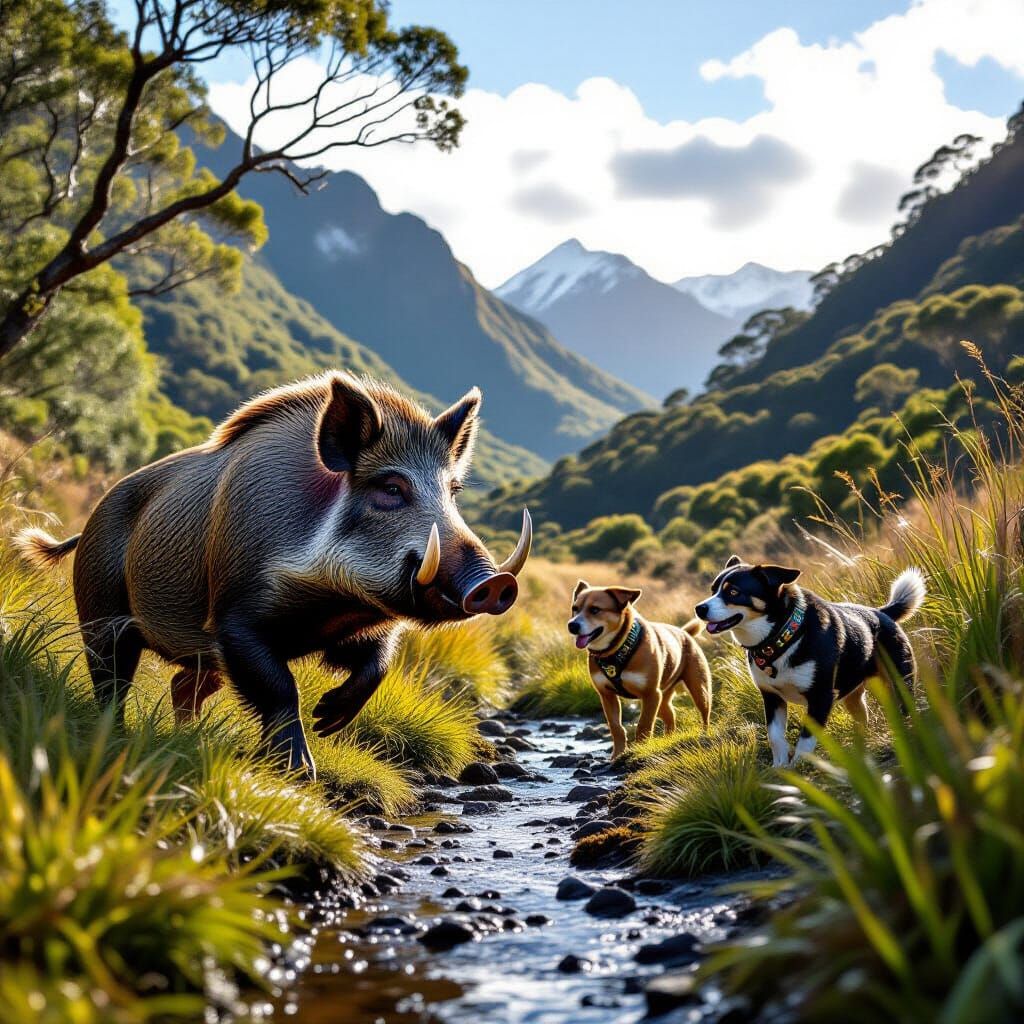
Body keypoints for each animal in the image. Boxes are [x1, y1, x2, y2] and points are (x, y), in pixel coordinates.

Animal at [16, 372, 531, 777]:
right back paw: (119, 737)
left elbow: (377, 665)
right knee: (111, 682)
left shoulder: (358, 628)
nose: (496, 583)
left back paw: (189, 736)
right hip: (100, 614)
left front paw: (327, 720)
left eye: (453, 490)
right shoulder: (233, 618)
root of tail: (87, 523)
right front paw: (301, 770)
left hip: (195, 656)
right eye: (391, 488)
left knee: (183, 686)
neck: (331, 605)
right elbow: (281, 687)